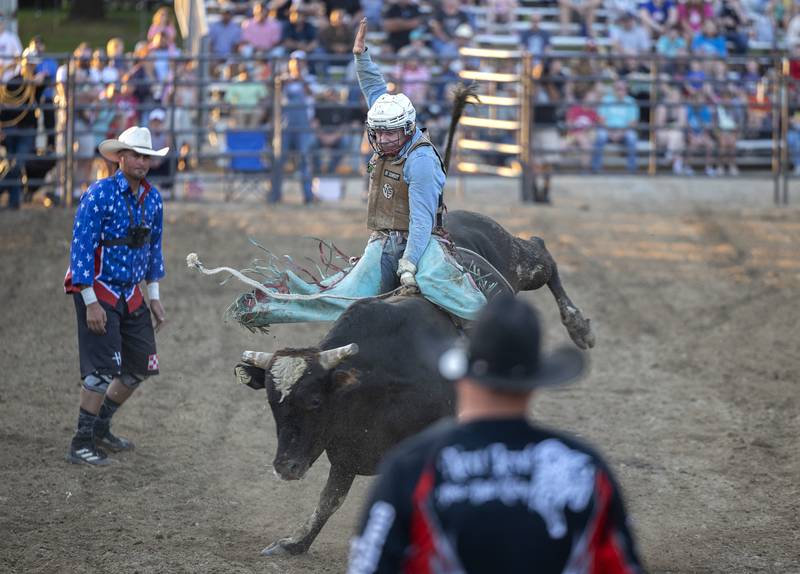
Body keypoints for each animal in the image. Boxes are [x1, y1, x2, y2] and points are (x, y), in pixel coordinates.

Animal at [231, 212, 592, 560]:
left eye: (316, 401)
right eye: (272, 403)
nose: (285, 467)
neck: (377, 380)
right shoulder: (347, 452)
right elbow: (329, 501)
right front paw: (295, 543)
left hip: (519, 262)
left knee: (541, 252)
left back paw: (578, 326)